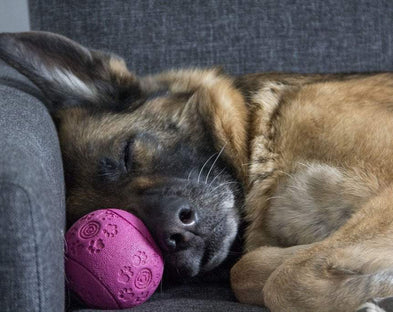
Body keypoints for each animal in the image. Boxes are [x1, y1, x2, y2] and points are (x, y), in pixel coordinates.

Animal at [0, 31, 392, 310]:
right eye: (113, 214)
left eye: (126, 154)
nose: (175, 234)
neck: (257, 133)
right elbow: (250, 271)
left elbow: (286, 277)